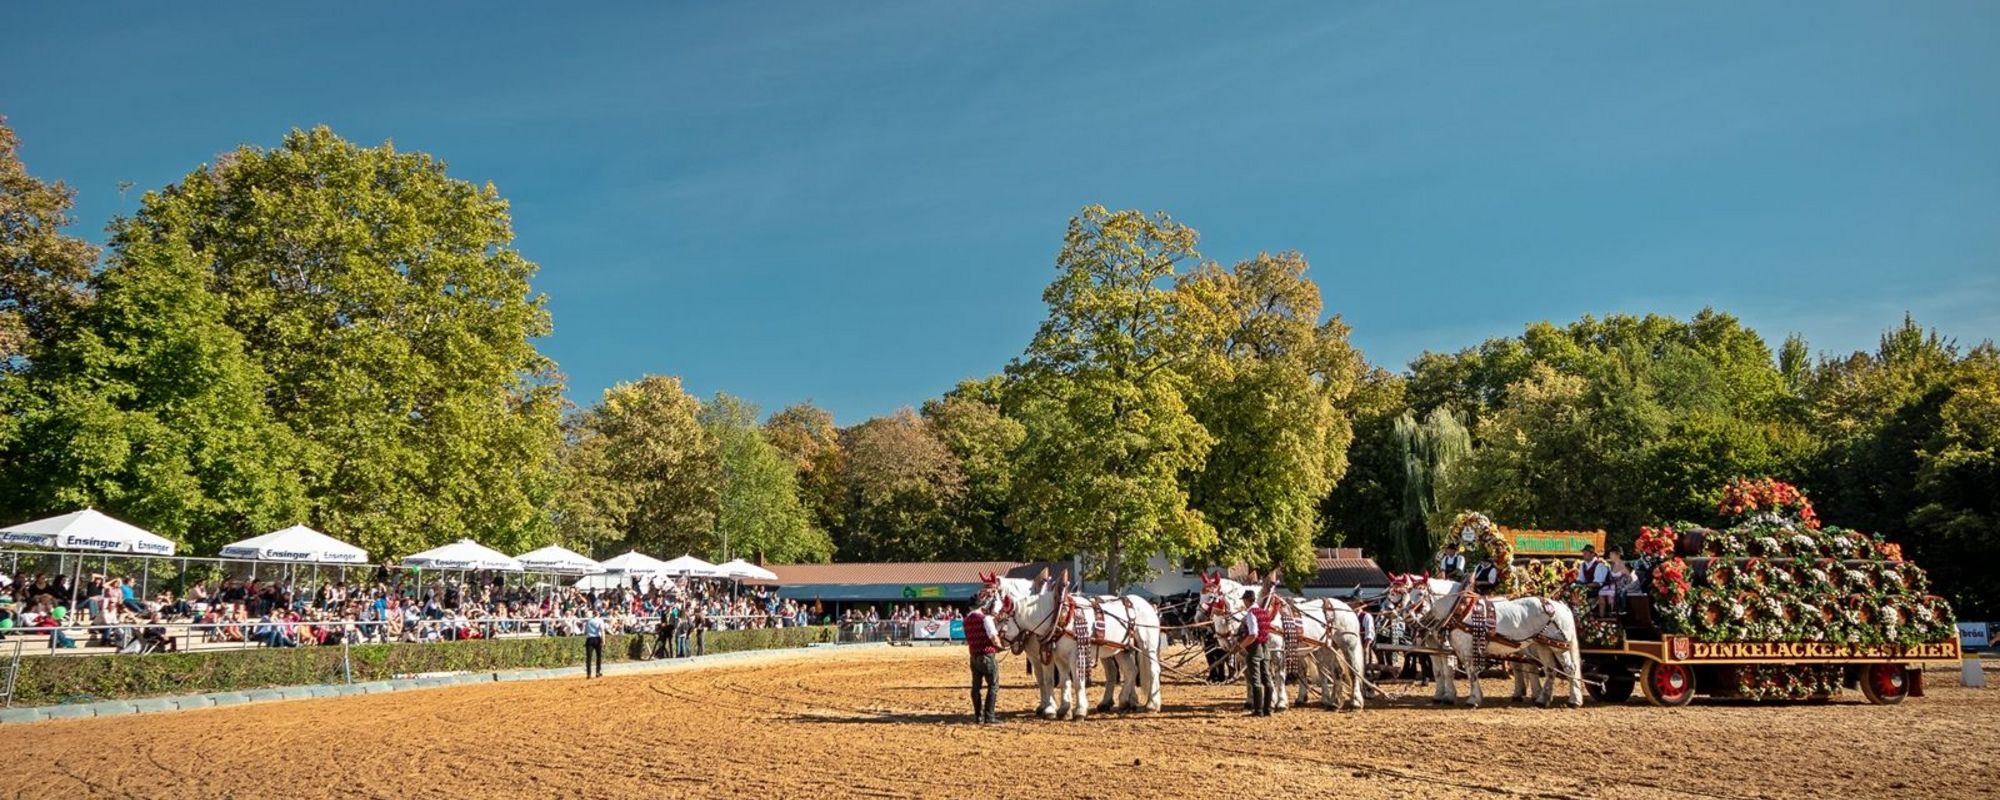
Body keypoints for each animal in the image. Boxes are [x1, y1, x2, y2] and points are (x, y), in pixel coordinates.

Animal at [988, 572, 1168, 720]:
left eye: (1001, 618)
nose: (993, 640)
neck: (1058, 615)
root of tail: (1148, 605)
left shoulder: (1074, 654)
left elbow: (1076, 681)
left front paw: (1078, 710)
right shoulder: (1055, 656)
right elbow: (1060, 681)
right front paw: (1062, 710)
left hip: (1147, 646)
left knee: (1153, 670)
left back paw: (1151, 704)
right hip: (1120, 649)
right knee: (1130, 670)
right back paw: (1123, 701)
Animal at [1192, 572, 1368, 708]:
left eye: (1212, 596)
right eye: (1199, 595)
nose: (1197, 618)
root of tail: (1347, 607)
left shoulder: (1277, 650)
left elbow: (1278, 675)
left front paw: (1280, 702)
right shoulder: (1247, 654)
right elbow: (1252, 676)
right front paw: (1253, 701)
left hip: (1348, 646)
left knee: (1353, 671)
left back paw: (1355, 701)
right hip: (1325, 648)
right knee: (1332, 671)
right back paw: (1331, 701)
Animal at [1392, 576, 1576, 708]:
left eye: (1420, 594)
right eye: (1408, 592)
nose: (1406, 615)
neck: (1460, 610)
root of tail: (1560, 605)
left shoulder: (1464, 650)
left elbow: (1469, 672)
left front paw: (1472, 699)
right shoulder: (1446, 649)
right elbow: (1442, 671)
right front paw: (1446, 696)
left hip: (1558, 647)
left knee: (1569, 669)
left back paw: (1573, 700)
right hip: (1542, 646)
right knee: (1547, 670)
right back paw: (1541, 699)